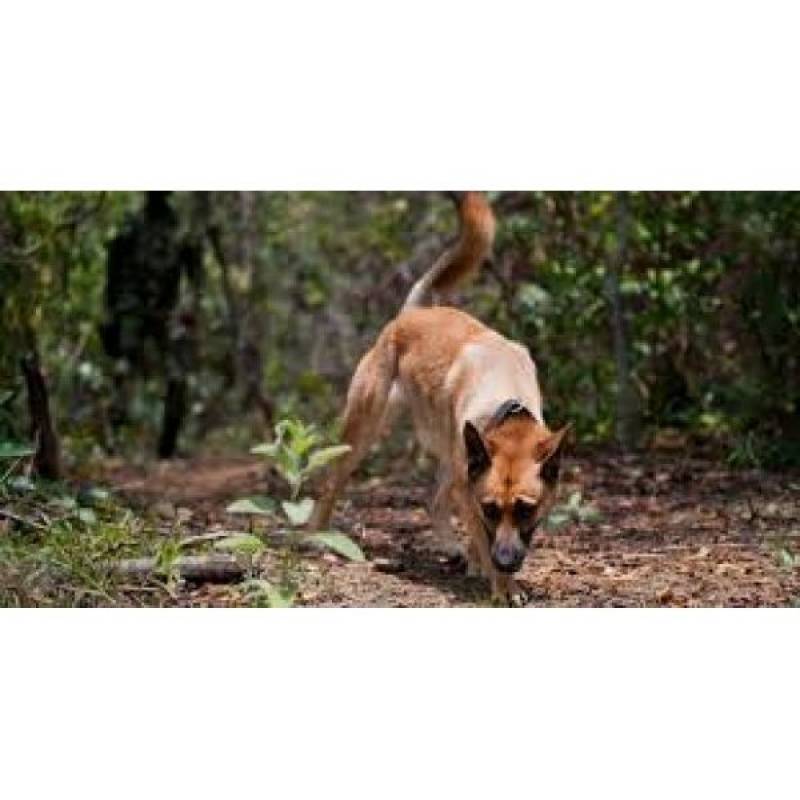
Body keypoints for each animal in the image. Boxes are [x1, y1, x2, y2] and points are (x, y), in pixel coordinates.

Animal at [312, 195, 568, 608]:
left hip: (453, 454)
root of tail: (412, 314)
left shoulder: (470, 477)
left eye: (526, 509)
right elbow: (480, 532)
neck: (504, 395)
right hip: (366, 431)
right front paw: (502, 584)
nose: (507, 561)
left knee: (433, 500)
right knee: (330, 483)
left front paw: (488, 569)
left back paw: (455, 550)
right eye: (491, 508)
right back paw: (314, 535)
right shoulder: (472, 492)